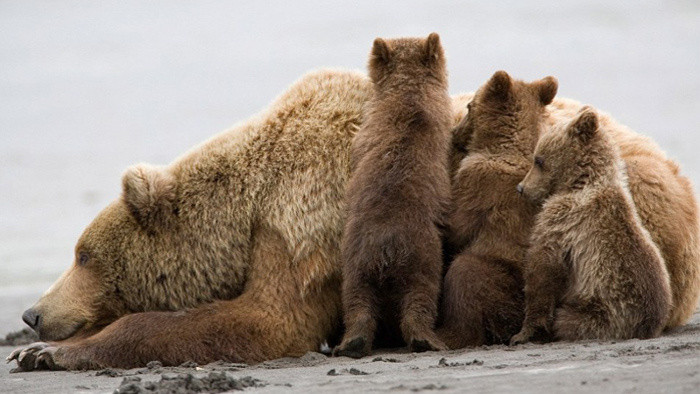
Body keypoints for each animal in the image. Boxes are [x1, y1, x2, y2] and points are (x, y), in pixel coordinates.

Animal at [516, 107, 672, 342]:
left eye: (539, 160)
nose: (521, 188)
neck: (582, 182)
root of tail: (647, 327)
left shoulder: (561, 219)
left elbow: (543, 268)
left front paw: (523, 332)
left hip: (601, 314)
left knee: (566, 320)